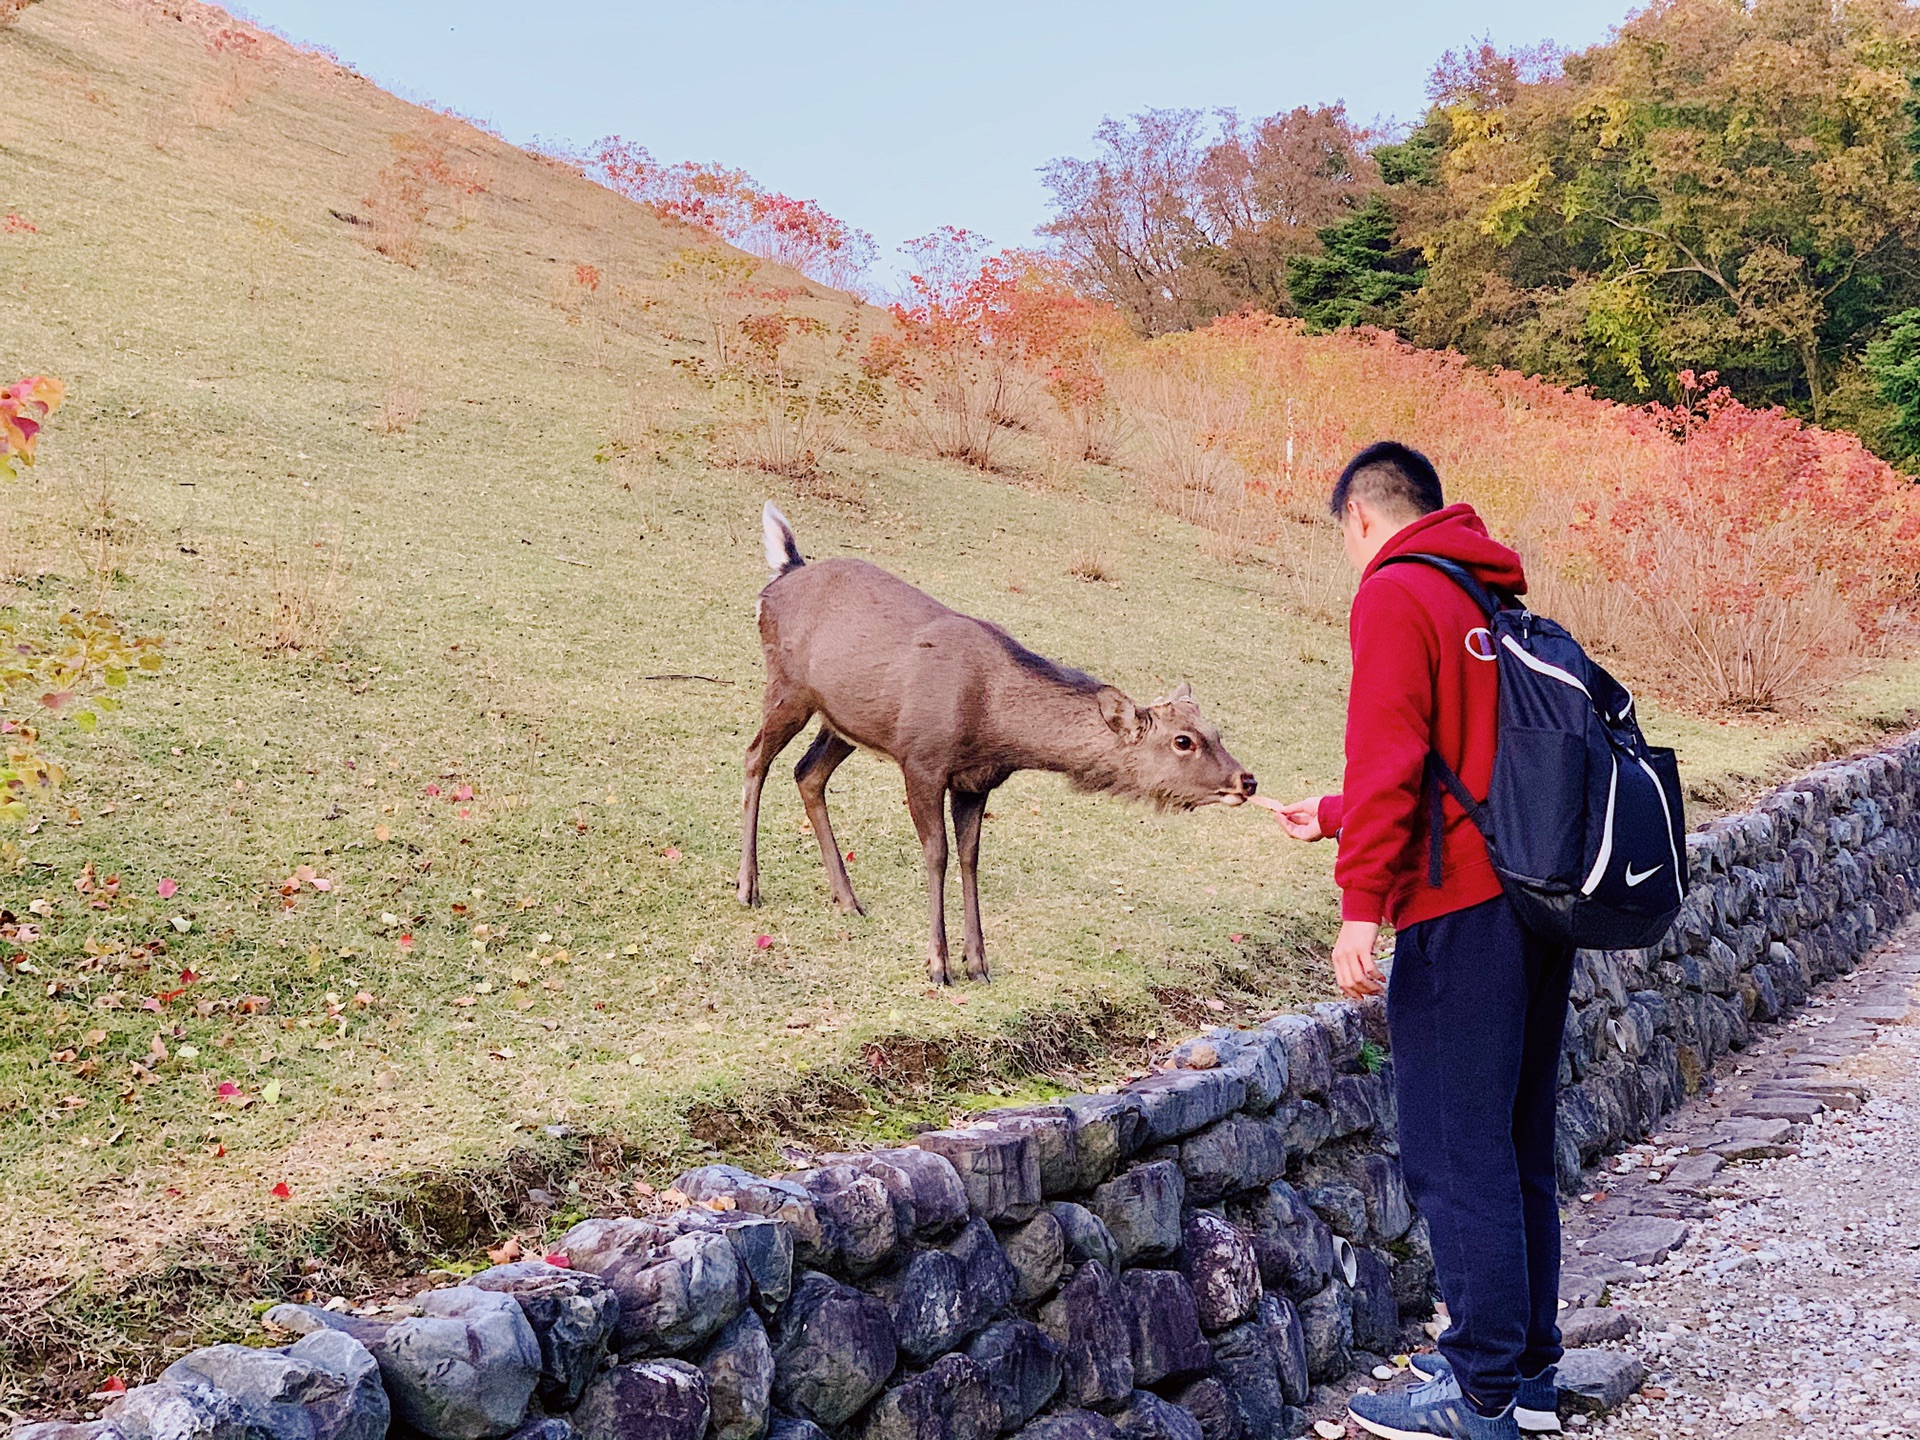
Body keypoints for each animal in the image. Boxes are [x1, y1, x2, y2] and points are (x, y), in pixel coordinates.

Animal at [733, 503, 1259, 990]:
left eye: (1217, 731)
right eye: (1183, 741)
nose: (1247, 780)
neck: (993, 725)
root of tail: (782, 573)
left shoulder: (976, 781)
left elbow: (970, 858)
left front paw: (978, 963)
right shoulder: (922, 761)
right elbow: (938, 853)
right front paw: (938, 964)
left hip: (844, 722)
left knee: (807, 773)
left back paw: (847, 899)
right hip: (788, 687)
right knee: (756, 757)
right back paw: (748, 885)